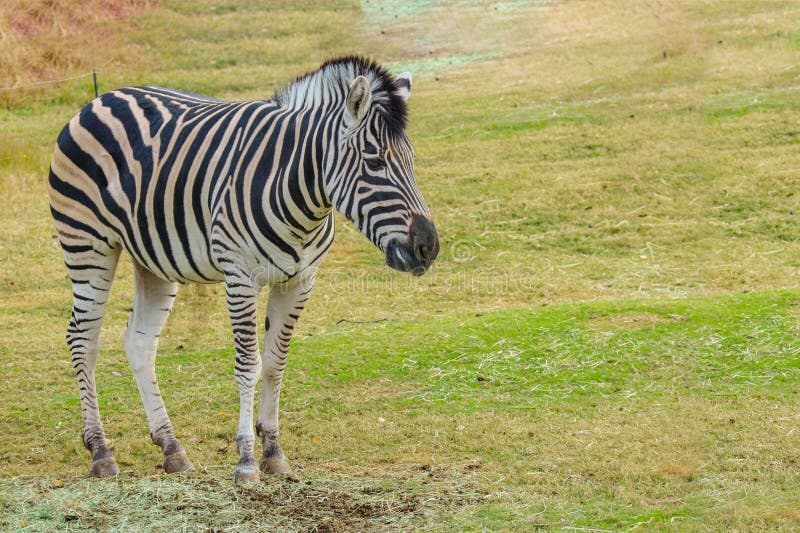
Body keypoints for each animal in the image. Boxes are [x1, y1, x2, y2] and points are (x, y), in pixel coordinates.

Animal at [48, 56, 439, 484]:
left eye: (412, 161)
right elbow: (248, 366)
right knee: (83, 339)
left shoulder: (300, 281)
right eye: (375, 162)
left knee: (139, 342)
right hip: (87, 243)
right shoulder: (240, 279)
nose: (428, 247)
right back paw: (101, 452)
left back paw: (172, 448)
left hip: (153, 258)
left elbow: (275, 365)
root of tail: (100, 99)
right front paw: (247, 460)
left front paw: (273, 452)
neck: (299, 193)